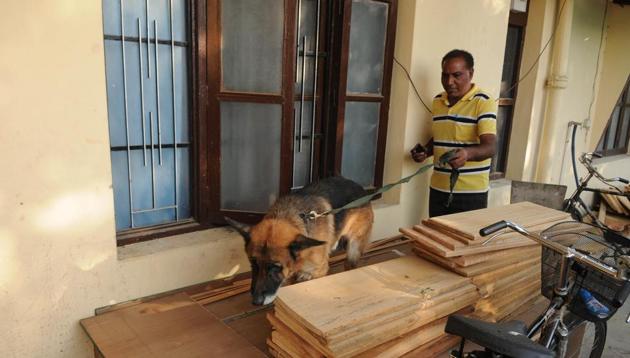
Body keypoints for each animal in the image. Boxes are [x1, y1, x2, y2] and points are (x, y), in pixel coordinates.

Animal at [227, 176, 376, 304]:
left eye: (276, 267)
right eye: (253, 264)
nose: (256, 302)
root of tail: (359, 187)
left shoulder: (319, 271)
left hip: (353, 248)